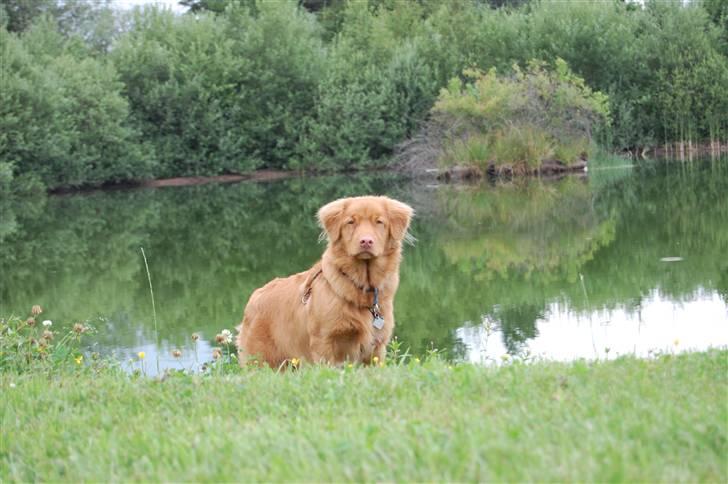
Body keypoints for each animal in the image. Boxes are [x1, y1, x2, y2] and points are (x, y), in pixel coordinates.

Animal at [236, 194, 412, 366]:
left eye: (379, 222)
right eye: (351, 222)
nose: (366, 241)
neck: (361, 286)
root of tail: (254, 297)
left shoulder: (376, 347)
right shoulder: (324, 341)